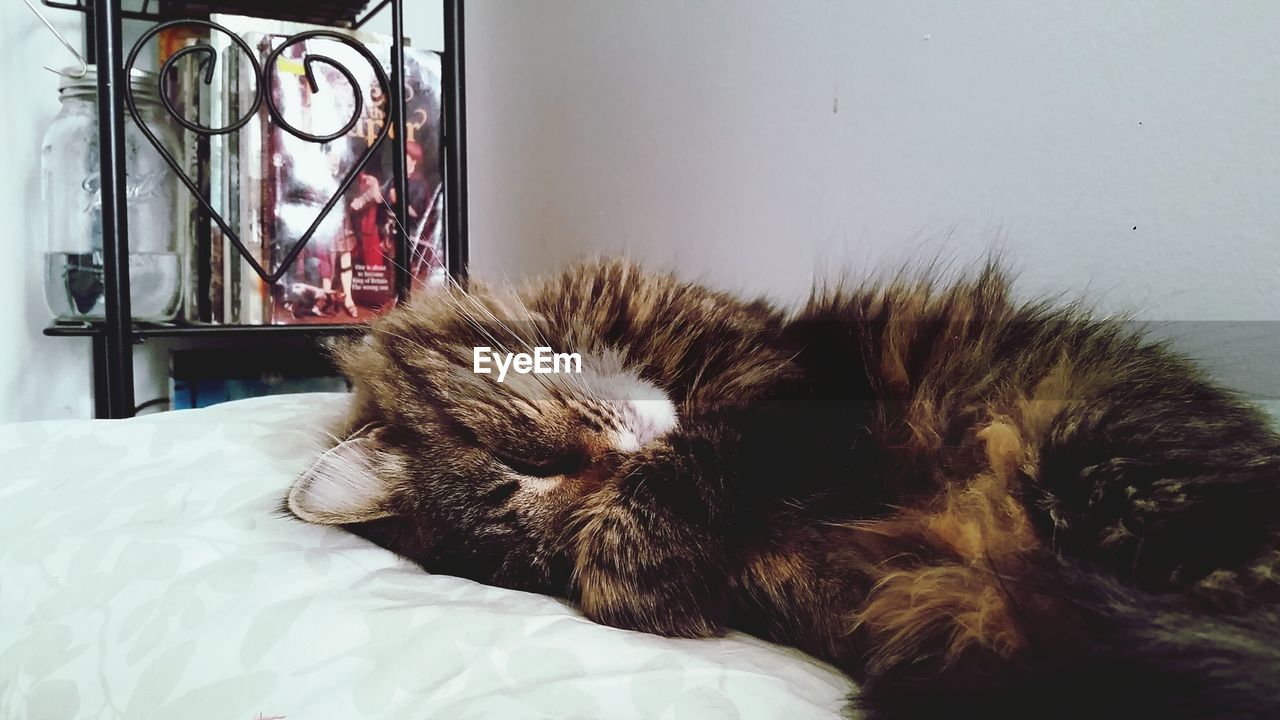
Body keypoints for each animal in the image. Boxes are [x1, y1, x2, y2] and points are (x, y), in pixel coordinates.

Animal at [285, 258, 1274, 717]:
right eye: (543, 551)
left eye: (526, 463)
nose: (613, 468)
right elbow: (640, 563)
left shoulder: (794, 388)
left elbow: (697, 459)